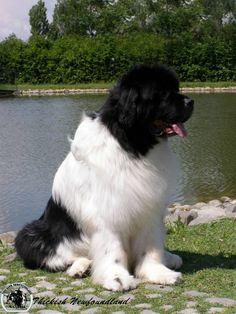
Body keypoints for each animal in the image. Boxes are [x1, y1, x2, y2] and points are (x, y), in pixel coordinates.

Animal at [15, 64, 195, 292]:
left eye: (176, 88)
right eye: (163, 94)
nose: (191, 102)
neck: (132, 143)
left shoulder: (148, 207)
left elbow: (150, 246)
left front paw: (158, 272)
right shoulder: (107, 210)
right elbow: (112, 251)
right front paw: (117, 278)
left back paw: (169, 257)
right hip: (31, 233)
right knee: (62, 257)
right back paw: (81, 267)